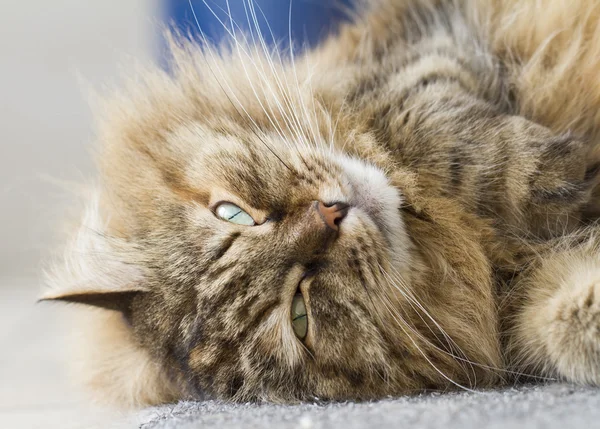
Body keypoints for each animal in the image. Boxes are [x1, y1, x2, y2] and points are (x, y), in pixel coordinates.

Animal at [44, 0, 600, 406]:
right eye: (300, 315)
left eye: (233, 213)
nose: (331, 215)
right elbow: (564, 317)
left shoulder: (424, 46)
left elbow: (464, 142)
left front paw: (571, 169)